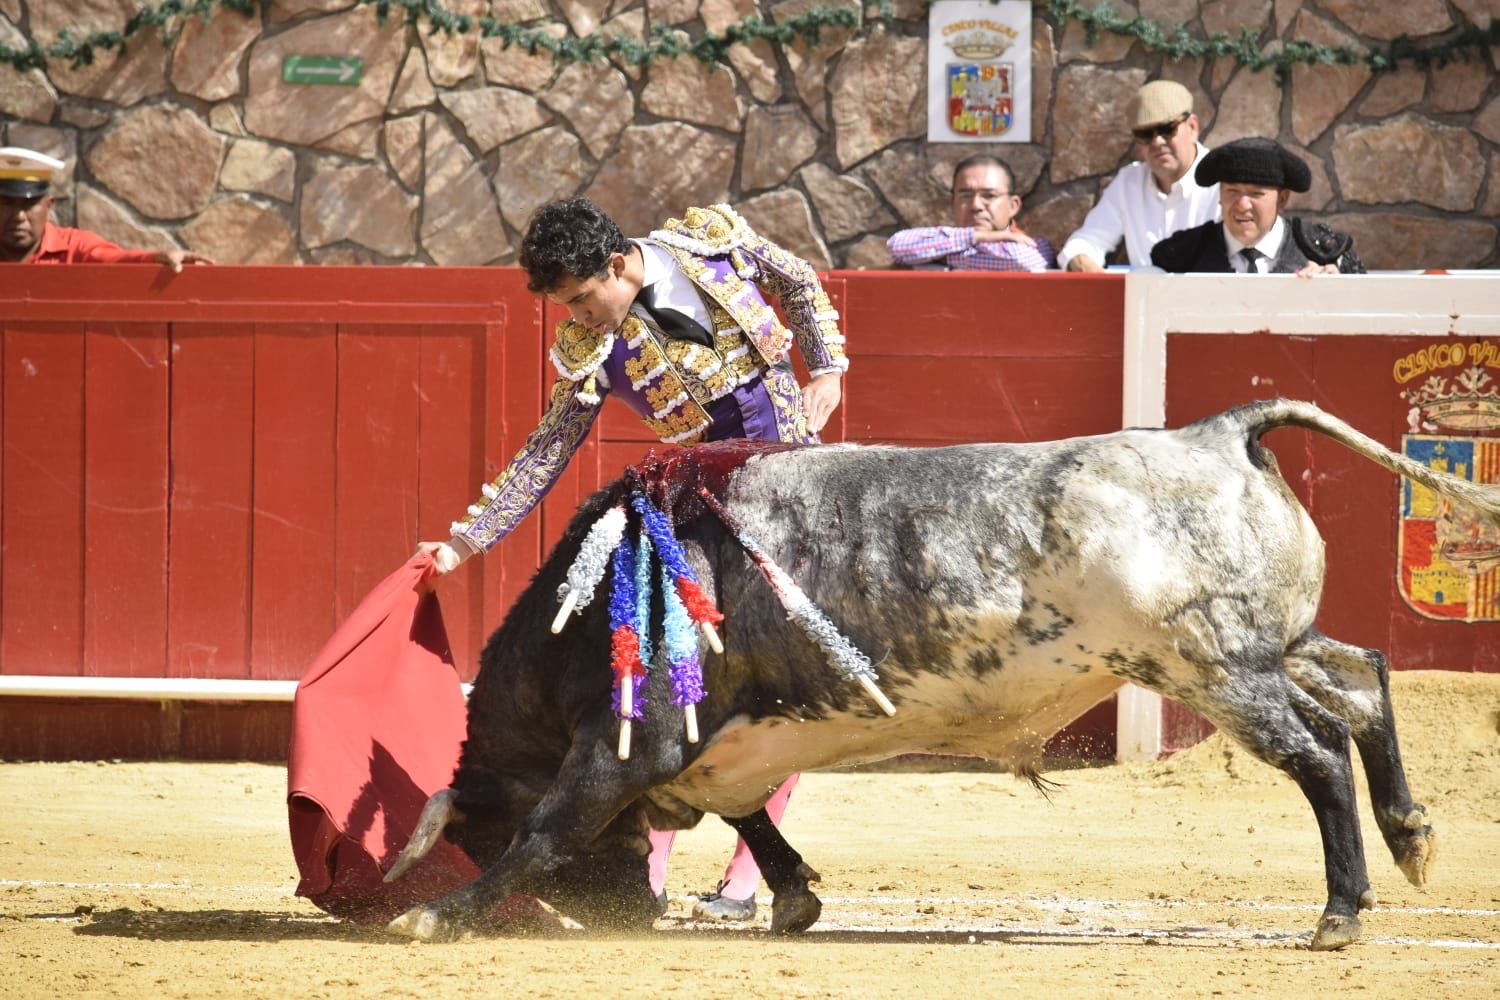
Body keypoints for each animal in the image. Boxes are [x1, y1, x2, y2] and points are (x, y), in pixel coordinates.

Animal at [381, 395, 1494, 947]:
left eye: (474, 831)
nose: (629, 911)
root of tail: (1216, 434)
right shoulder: (720, 747)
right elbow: (755, 818)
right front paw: (795, 902)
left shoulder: (631, 745)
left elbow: (550, 826)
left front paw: (433, 913)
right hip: (1267, 645)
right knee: (1362, 678)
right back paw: (1411, 837)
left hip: (1210, 668)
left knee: (1317, 754)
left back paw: (1339, 915)